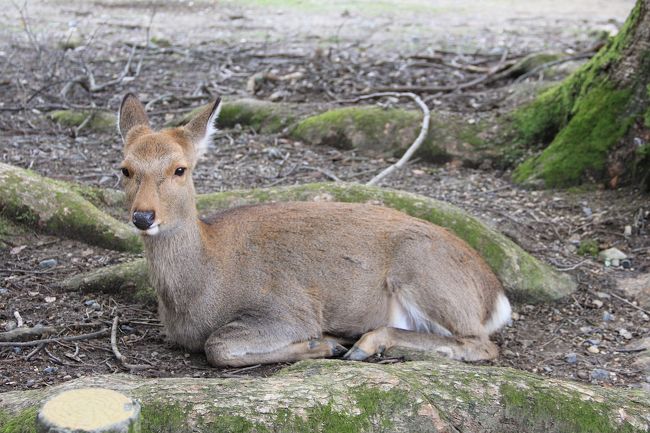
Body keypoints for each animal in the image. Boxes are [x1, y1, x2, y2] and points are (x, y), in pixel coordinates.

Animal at [117, 93, 512, 366]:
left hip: (425, 272)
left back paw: (362, 345)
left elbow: (219, 345)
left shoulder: (288, 308)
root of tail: (496, 297)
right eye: (124, 168)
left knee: (481, 344)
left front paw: (323, 342)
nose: (143, 216)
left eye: (180, 169)